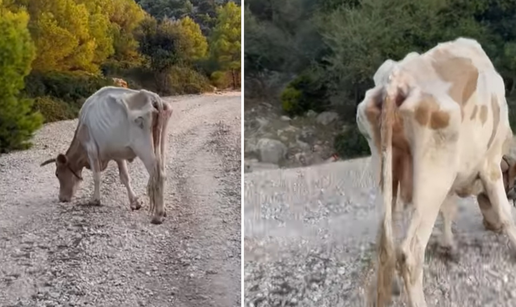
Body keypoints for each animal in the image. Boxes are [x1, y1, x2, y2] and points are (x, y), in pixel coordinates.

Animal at [40, 85, 173, 225]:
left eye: (57, 174)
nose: (62, 198)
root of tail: (153, 97)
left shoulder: (92, 150)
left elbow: (96, 176)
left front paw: (95, 200)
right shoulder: (118, 154)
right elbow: (125, 177)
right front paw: (135, 203)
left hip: (144, 148)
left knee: (158, 175)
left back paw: (158, 215)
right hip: (160, 146)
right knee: (162, 172)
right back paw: (163, 211)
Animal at [356, 36, 516, 307]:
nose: (489, 226)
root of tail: (397, 80)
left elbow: (448, 209)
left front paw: (448, 245)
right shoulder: (489, 164)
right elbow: (506, 213)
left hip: (384, 167)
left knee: (385, 241)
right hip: (434, 175)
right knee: (410, 252)